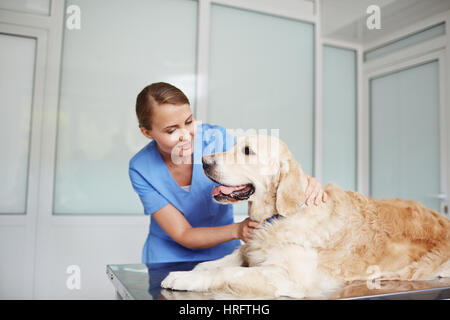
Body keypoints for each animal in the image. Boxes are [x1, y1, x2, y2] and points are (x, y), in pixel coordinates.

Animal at [162, 134, 450, 298]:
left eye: (247, 151)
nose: (203, 161)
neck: (278, 217)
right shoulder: (249, 249)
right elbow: (214, 262)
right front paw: (191, 270)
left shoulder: (288, 277)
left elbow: (228, 273)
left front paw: (184, 278)